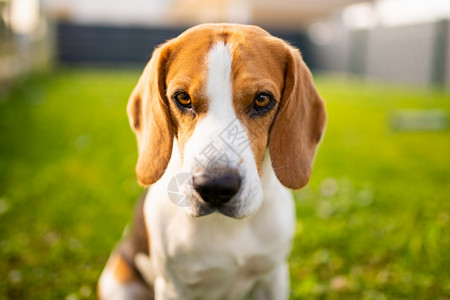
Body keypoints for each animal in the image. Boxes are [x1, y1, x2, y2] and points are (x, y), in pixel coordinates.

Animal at [97, 24, 326, 300]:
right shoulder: (173, 288)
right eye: (183, 98)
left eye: (262, 99)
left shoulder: (273, 277)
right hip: (117, 282)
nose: (215, 186)